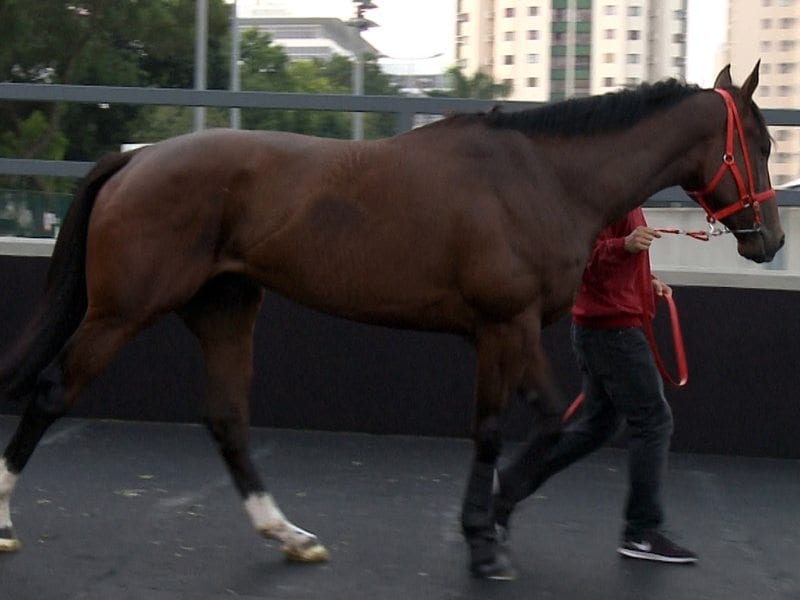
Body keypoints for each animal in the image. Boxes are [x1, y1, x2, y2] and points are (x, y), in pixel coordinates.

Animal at [0, 63, 784, 580]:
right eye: (762, 143)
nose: (770, 241)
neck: (542, 178)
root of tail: (136, 159)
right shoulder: (505, 325)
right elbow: (517, 424)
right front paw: (486, 536)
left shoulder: (509, 329)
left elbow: (521, 423)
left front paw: (488, 521)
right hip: (122, 311)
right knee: (52, 392)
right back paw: (5, 520)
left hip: (226, 309)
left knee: (226, 418)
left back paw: (288, 535)